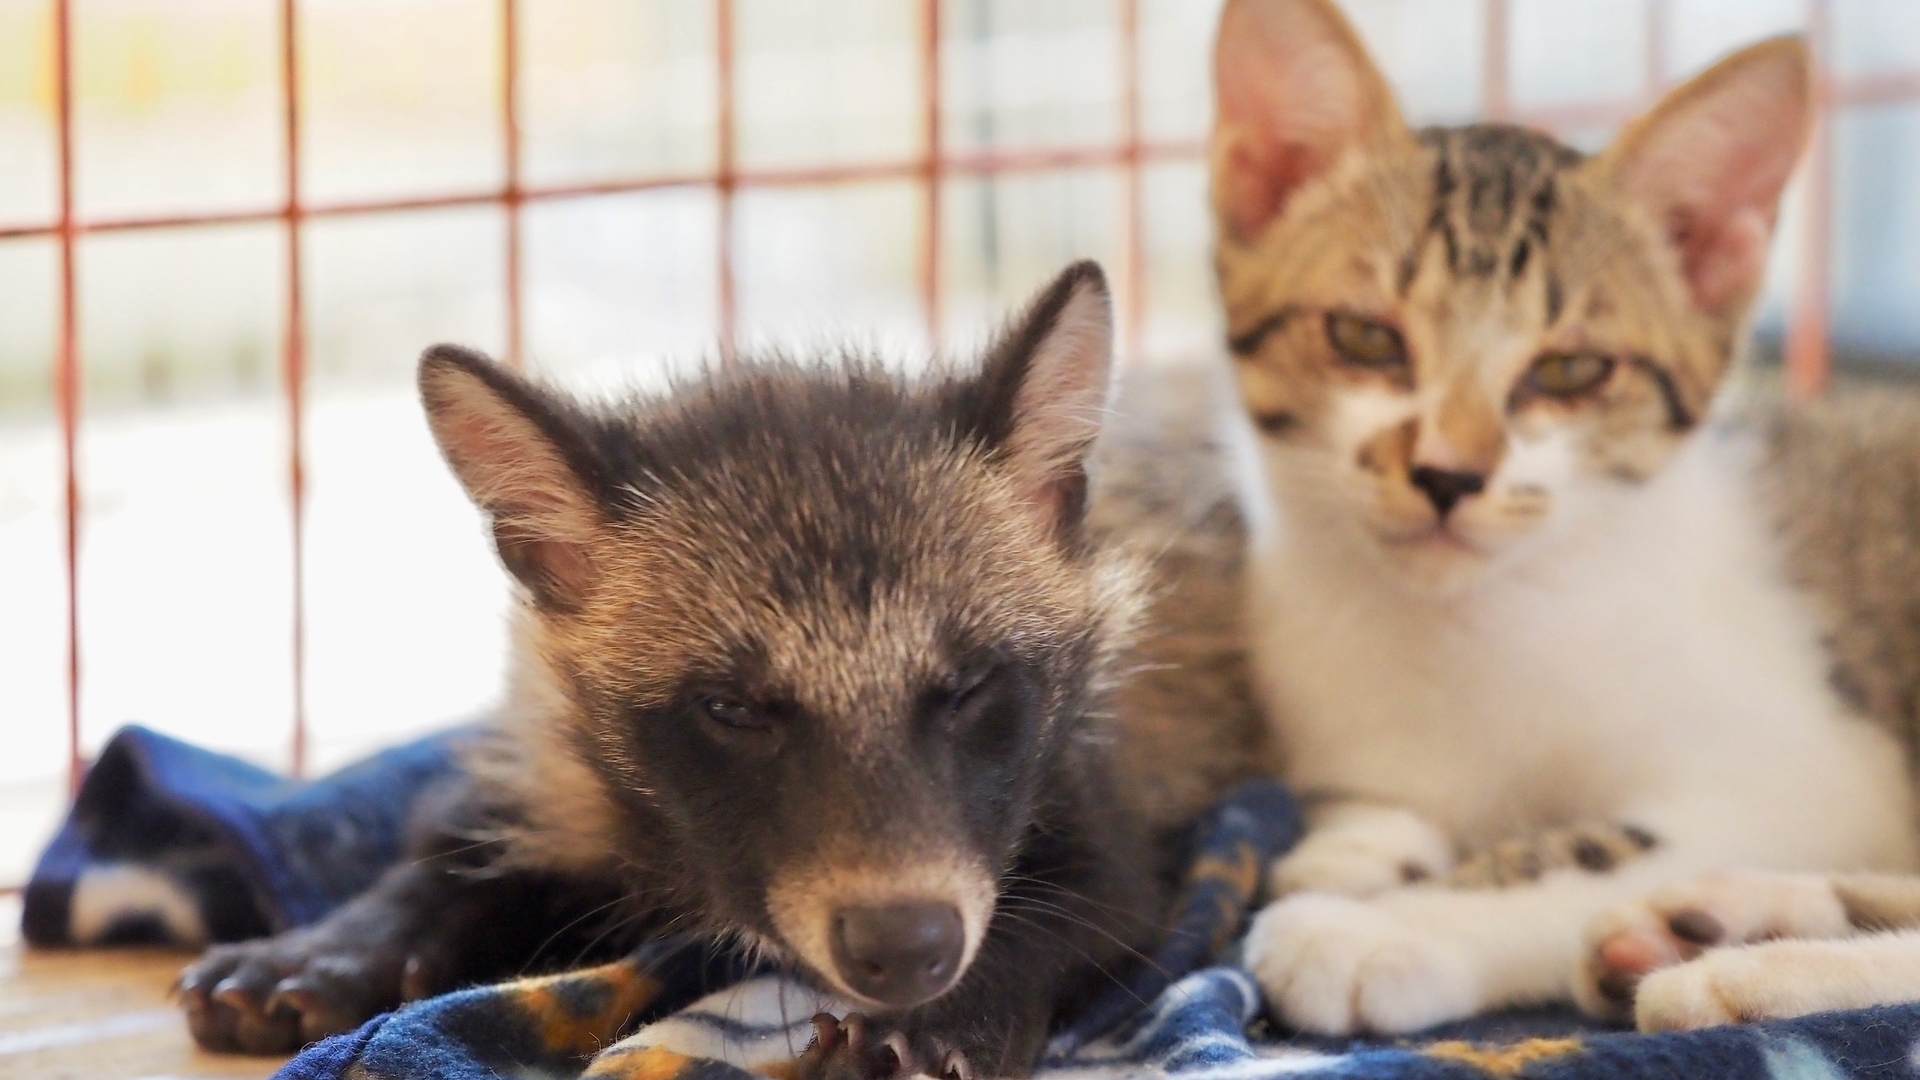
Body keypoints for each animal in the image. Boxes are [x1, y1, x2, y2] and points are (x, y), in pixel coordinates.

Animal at [1213, 0, 1920, 1030]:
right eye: (1365, 337)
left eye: (1571, 370)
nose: (1447, 475)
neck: (1464, 628)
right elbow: (1378, 800)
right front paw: (1359, 847)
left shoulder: (1821, 770)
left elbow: (1602, 847)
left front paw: (1383, 927)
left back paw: (1743, 966)